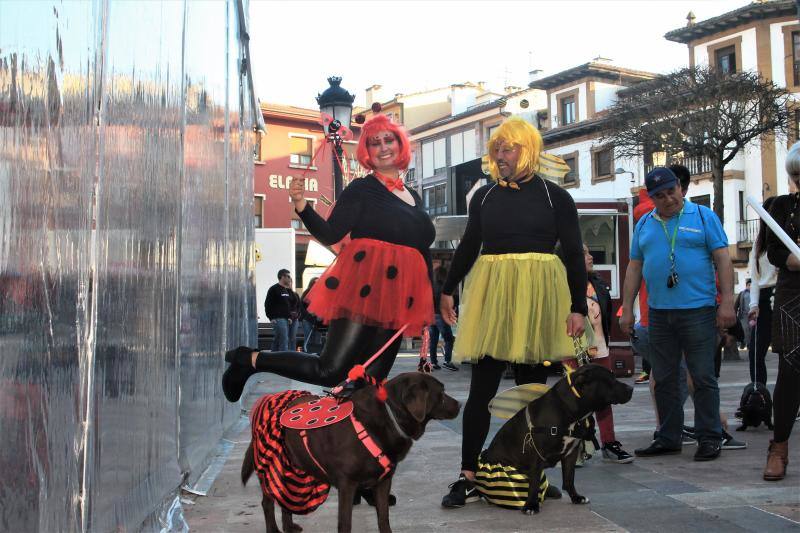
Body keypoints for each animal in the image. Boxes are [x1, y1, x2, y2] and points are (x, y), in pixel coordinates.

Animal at [241, 370, 460, 532]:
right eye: (441, 393)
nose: (459, 404)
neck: (389, 415)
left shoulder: (383, 482)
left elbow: (383, 518)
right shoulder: (347, 484)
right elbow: (345, 523)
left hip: (293, 467)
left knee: (285, 499)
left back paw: (289, 527)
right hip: (271, 467)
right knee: (268, 503)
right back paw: (274, 530)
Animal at [482, 364, 632, 512]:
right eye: (610, 379)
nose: (631, 388)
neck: (568, 408)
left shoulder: (571, 454)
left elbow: (569, 478)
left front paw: (576, 497)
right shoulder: (537, 455)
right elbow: (534, 482)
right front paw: (531, 505)